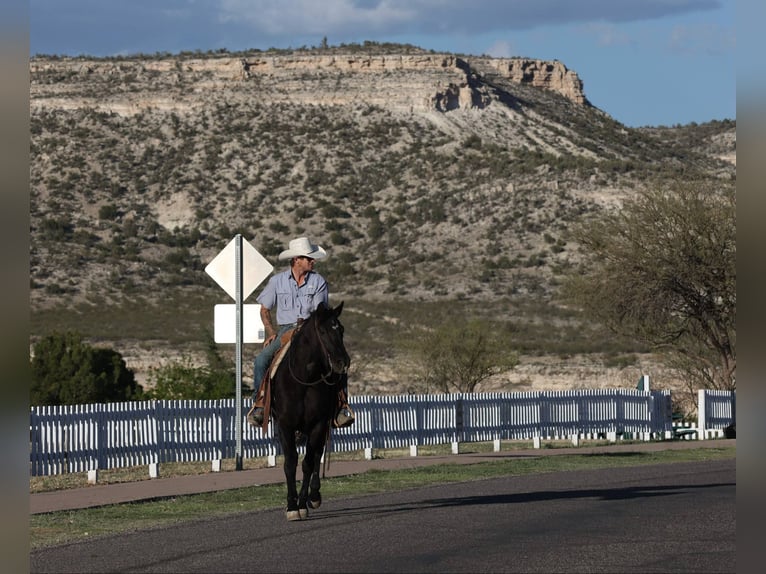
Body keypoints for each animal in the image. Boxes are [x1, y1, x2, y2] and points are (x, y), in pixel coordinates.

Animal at [269, 301, 350, 521]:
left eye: (341, 329)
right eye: (322, 331)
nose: (343, 362)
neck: (304, 379)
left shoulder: (318, 425)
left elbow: (308, 463)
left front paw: (302, 504)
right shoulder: (285, 426)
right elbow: (290, 463)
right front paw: (291, 506)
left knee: (317, 457)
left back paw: (314, 496)